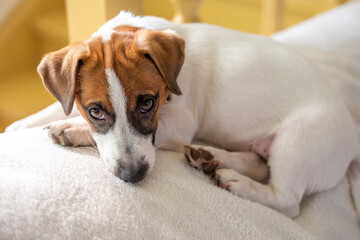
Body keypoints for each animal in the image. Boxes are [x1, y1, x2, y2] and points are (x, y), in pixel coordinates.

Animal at [5, 11, 360, 219]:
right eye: (96, 110)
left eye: (148, 104)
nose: (133, 176)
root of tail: (352, 135)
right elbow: (57, 103)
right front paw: (21, 125)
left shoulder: (178, 124)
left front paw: (70, 128)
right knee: (260, 164)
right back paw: (212, 159)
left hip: (299, 142)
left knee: (287, 200)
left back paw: (237, 183)